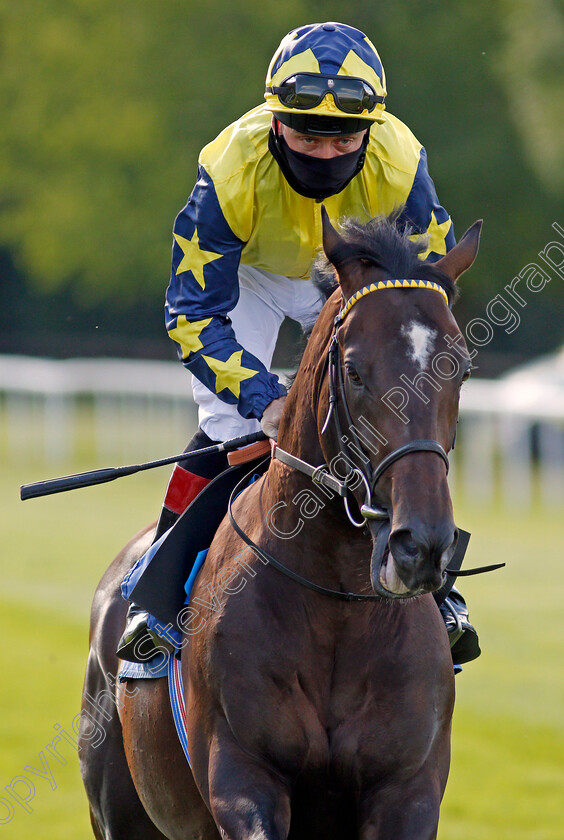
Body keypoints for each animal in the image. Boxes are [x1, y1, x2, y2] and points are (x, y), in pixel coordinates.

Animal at [79, 205, 482, 840]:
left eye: (459, 368)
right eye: (354, 371)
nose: (421, 545)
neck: (338, 604)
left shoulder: (408, 788)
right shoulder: (243, 778)